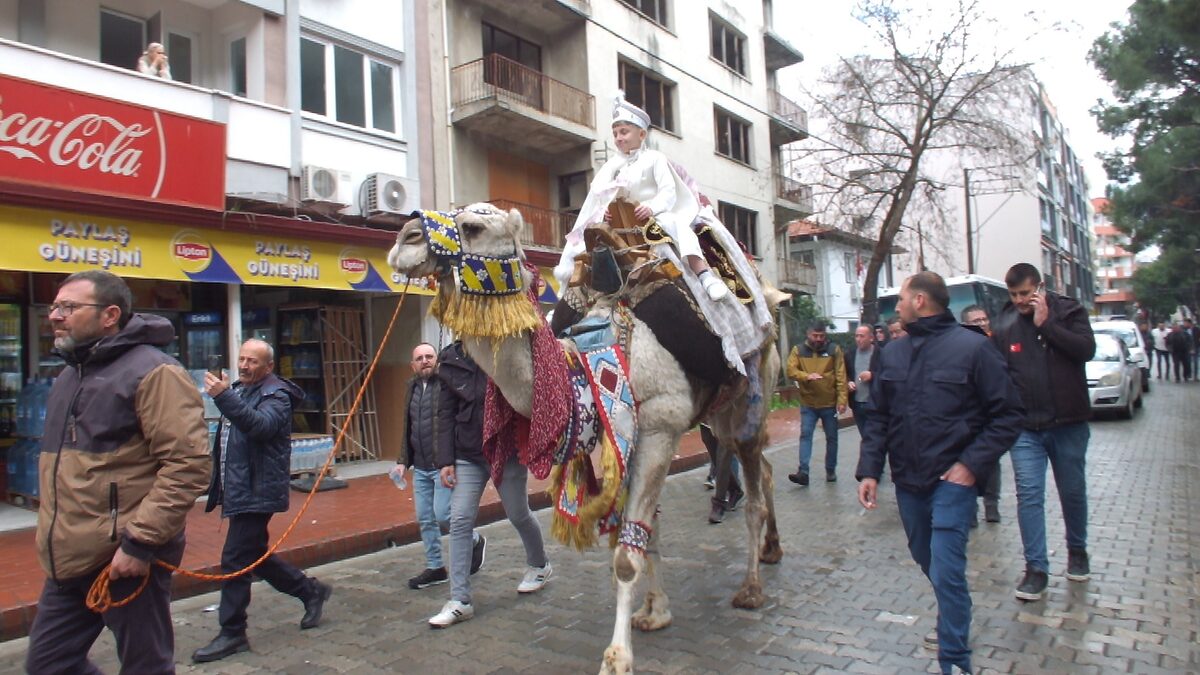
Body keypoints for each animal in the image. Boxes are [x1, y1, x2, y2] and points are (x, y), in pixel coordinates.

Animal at [388, 204, 782, 672]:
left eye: (474, 226)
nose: (405, 239)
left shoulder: (659, 426)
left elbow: (627, 554)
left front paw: (617, 657)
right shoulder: (628, 434)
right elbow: (648, 530)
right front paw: (655, 612)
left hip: (751, 396)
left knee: (755, 491)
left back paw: (751, 589)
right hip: (718, 413)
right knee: (767, 471)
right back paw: (772, 551)